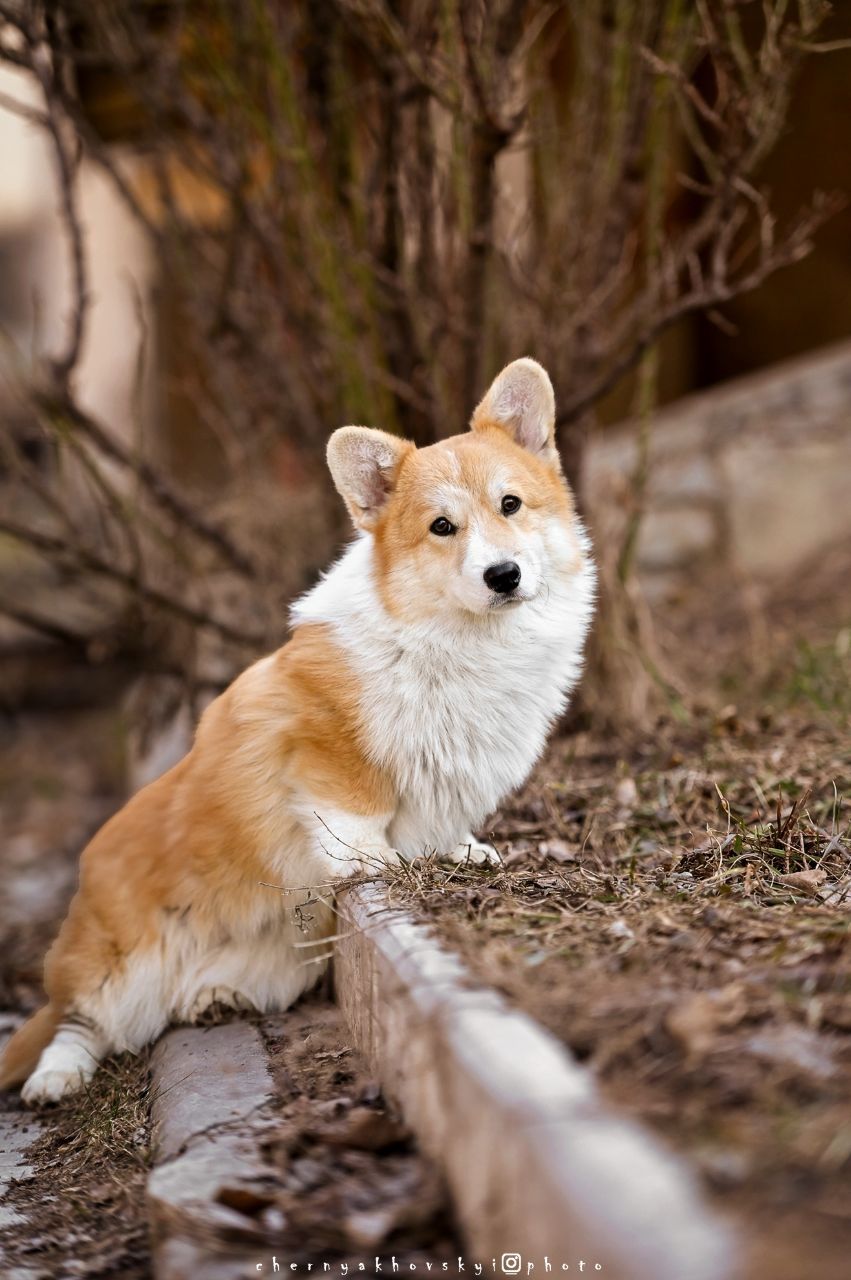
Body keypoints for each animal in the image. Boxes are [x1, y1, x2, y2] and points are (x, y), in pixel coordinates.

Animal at [0, 358, 593, 1100]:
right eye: (441, 527)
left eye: (510, 505)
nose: (504, 575)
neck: (459, 637)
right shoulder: (320, 740)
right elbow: (355, 809)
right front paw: (378, 860)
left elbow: (444, 815)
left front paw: (460, 851)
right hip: (114, 967)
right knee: (79, 1022)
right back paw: (56, 1077)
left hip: (283, 960)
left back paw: (212, 996)